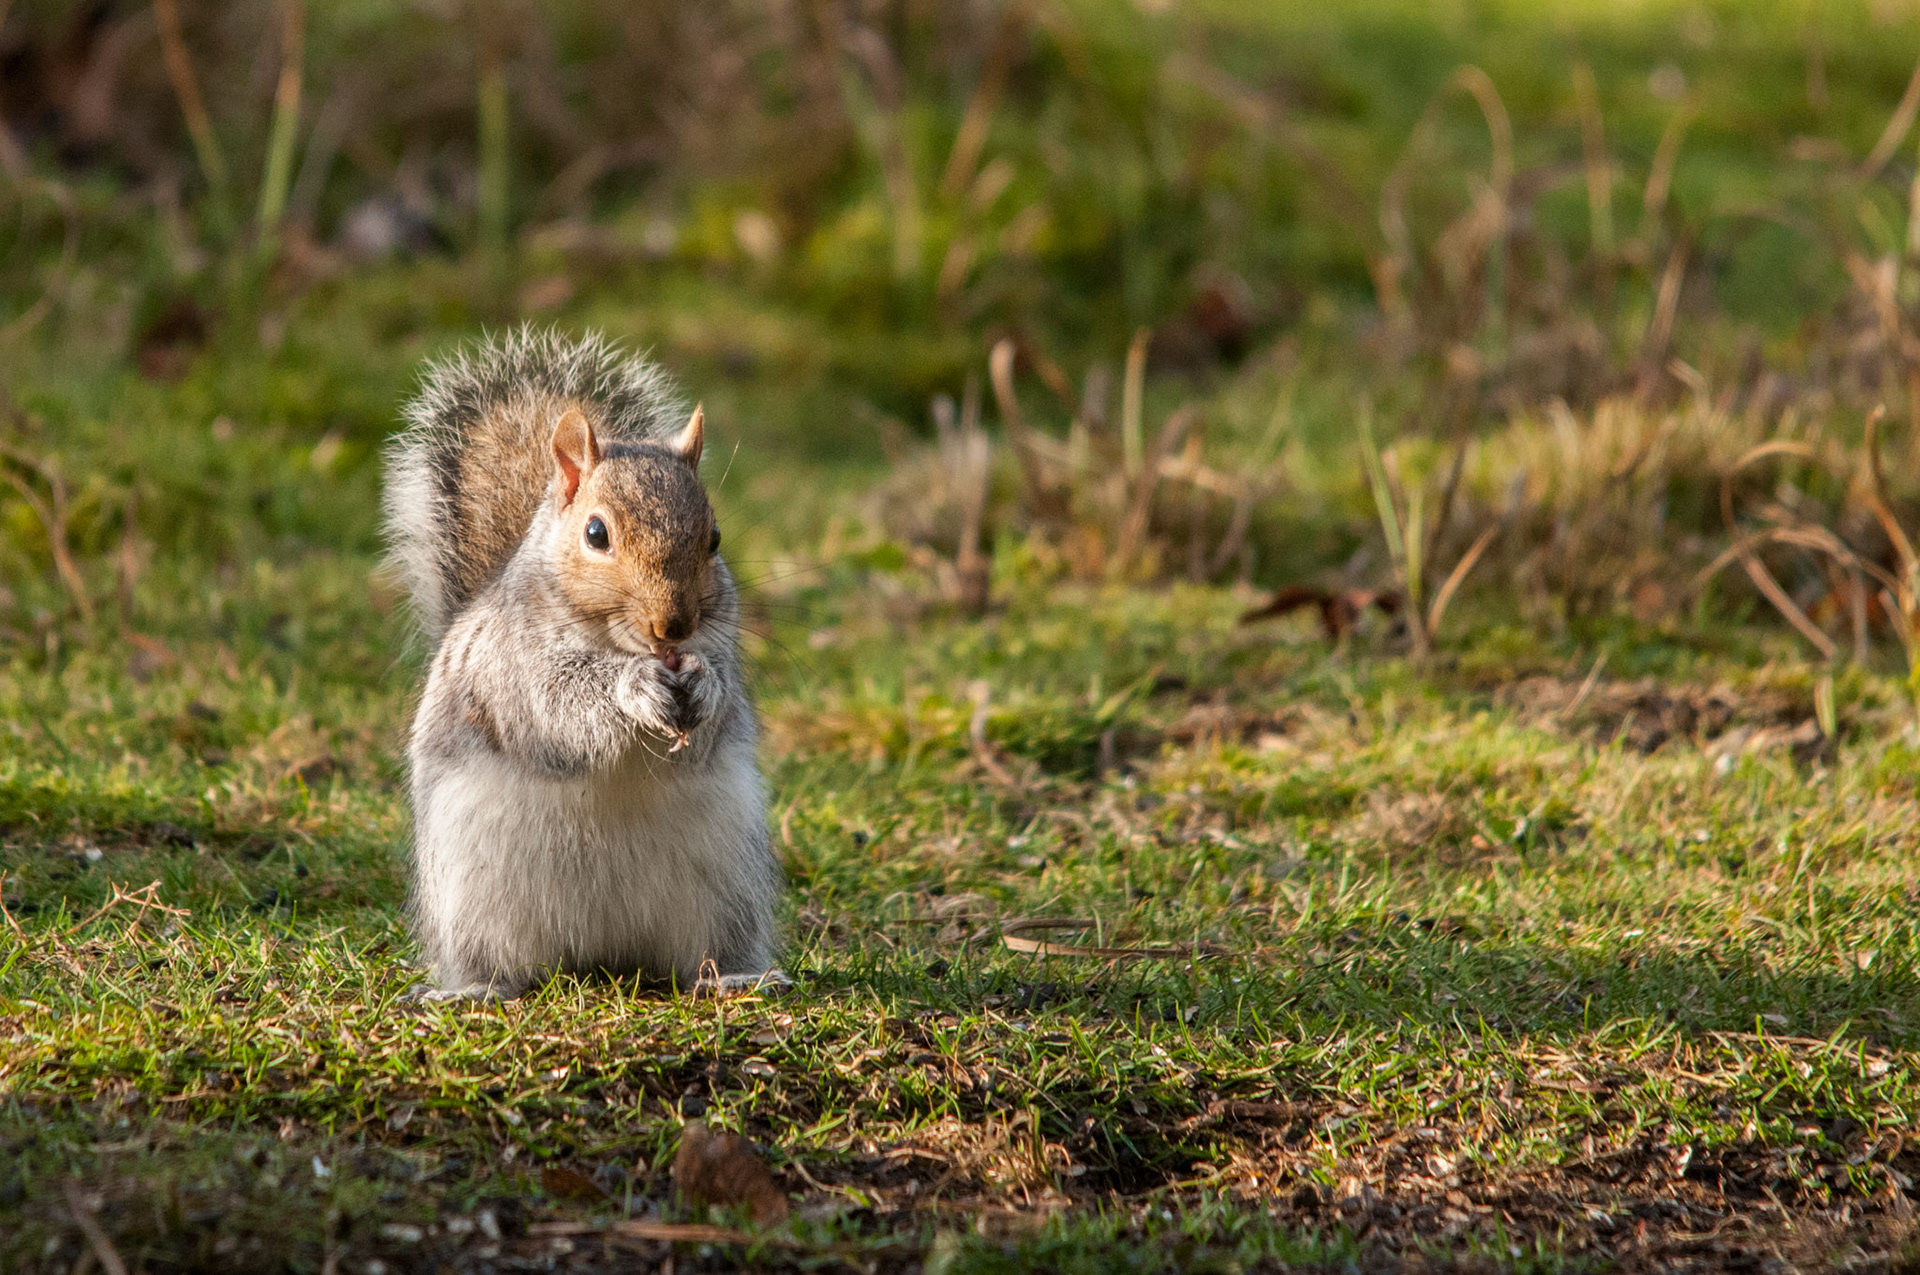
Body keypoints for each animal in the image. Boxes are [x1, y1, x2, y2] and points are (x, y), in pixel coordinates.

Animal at [383, 328, 781, 1000]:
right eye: (596, 534)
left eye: (715, 539)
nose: (674, 626)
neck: (614, 644)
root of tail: (602, 954)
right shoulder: (511, 668)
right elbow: (558, 710)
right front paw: (634, 689)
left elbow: (712, 717)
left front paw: (702, 688)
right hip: (473, 899)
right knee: (496, 959)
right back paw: (474, 987)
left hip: (727, 890)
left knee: (703, 952)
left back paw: (734, 976)